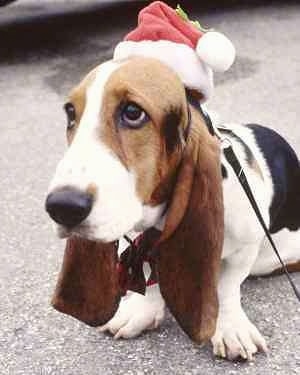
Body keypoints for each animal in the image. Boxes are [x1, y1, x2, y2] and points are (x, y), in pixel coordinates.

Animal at [45, 58, 300, 362]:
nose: (62, 206)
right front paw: (141, 310)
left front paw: (230, 328)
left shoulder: (245, 246)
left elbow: (227, 286)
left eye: (133, 112)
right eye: (71, 113)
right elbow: (149, 271)